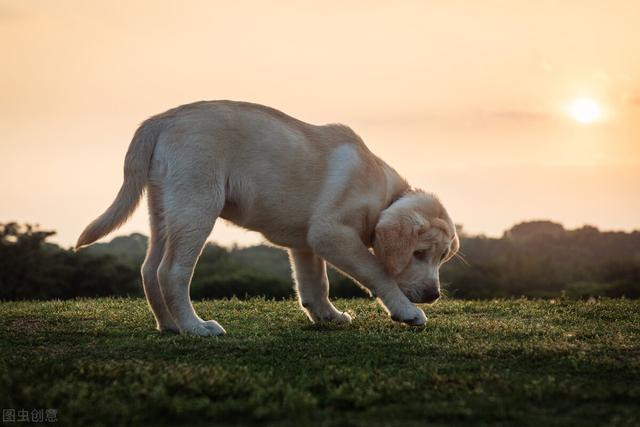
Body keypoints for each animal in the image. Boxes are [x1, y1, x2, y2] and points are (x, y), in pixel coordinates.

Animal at [77, 101, 458, 338]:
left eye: (443, 258)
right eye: (419, 254)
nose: (433, 295)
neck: (384, 196)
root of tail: (162, 118)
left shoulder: (307, 243)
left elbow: (315, 284)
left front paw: (328, 316)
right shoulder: (331, 234)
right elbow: (378, 271)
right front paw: (406, 311)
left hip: (163, 210)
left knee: (148, 268)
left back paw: (169, 326)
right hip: (197, 205)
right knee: (171, 272)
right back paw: (195, 327)